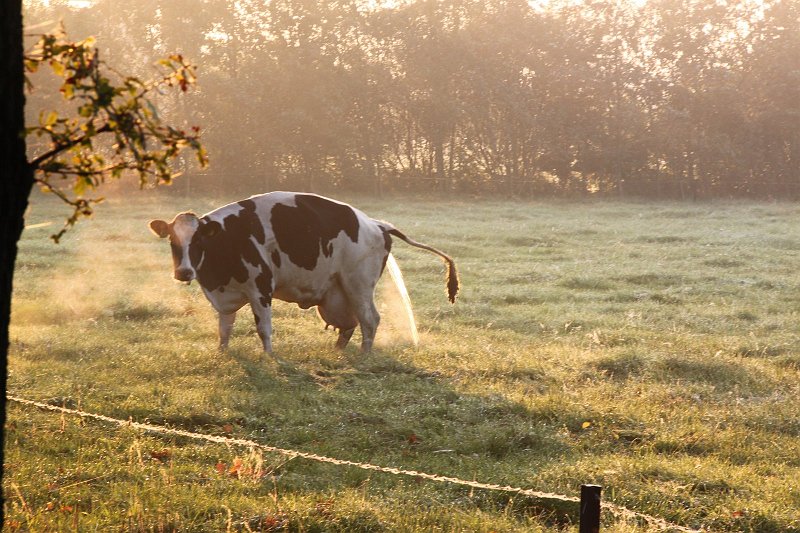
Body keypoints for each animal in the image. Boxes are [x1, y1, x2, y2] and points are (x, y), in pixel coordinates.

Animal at [148, 191, 460, 354]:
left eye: (199, 241)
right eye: (173, 241)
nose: (184, 272)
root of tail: (377, 224)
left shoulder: (260, 288)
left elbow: (264, 329)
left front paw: (269, 358)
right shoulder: (226, 296)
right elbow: (224, 330)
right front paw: (222, 354)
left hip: (358, 285)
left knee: (370, 320)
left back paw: (365, 355)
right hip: (340, 292)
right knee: (350, 324)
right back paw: (338, 352)